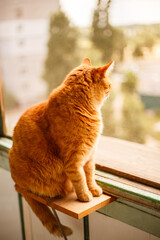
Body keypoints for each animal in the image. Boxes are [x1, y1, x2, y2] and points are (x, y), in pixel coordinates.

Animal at [9, 57, 113, 236]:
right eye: (108, 84)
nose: (111, 89)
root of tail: (17, 184)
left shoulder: (90, 156)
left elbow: (90, 175)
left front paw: (93, 189)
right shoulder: (73, 161)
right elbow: (80, 179)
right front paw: (84, 195)